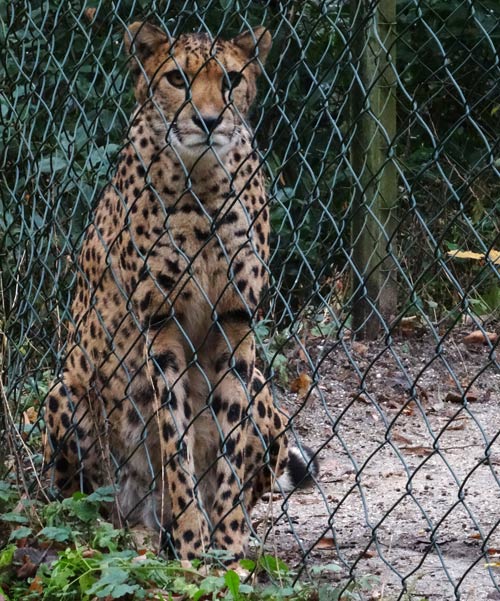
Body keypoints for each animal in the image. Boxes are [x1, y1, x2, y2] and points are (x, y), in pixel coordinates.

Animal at [45, 19, 318, 564]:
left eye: (231, 79)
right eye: (176, 78)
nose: (209, 121)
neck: (203, 182)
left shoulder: (235, 324)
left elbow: (228, 447)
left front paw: (227, 543)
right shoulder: (162, 329)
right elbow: (176, 444)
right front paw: (193, 542)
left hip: (265, 391)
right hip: (65, 390)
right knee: (87, 510)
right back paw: (143, 534)